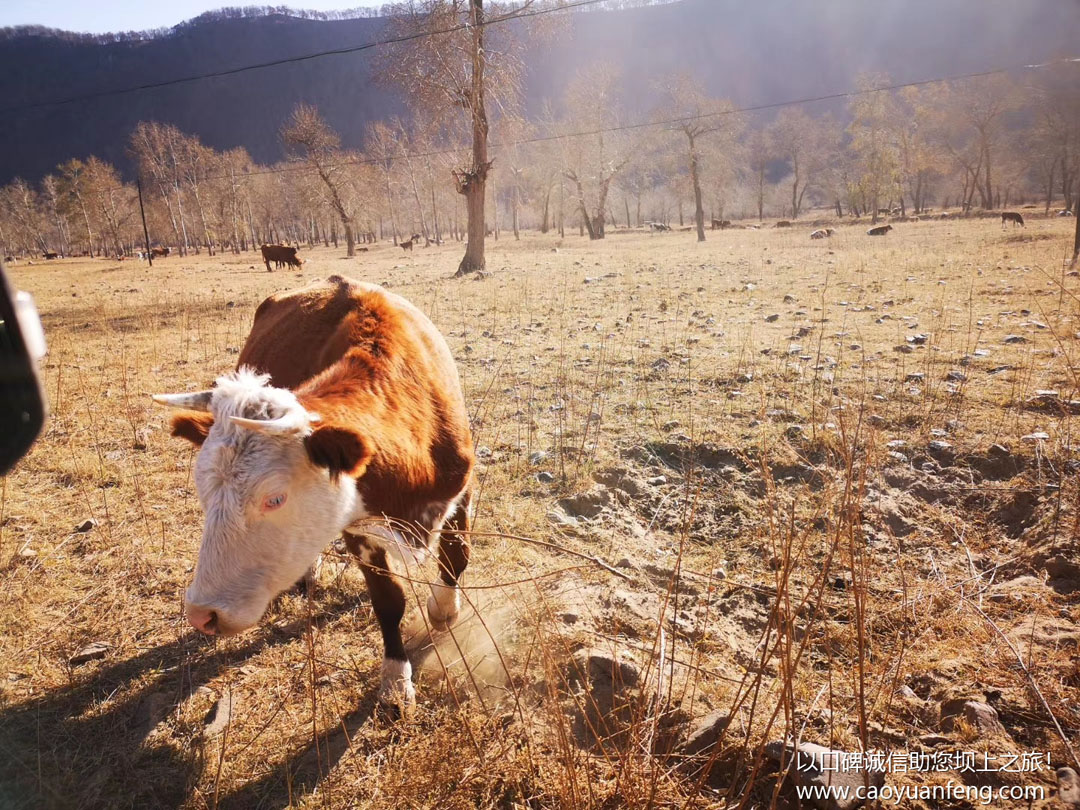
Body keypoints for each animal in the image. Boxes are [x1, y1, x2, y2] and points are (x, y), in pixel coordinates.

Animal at [152, 276, 473, 708]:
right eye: (204, 492)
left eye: (275, 497)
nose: (202, 614)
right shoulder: (357, 527)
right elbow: (388, 600)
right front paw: (395, 679)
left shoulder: (462, 490)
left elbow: (457, 558)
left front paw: (443, 610)